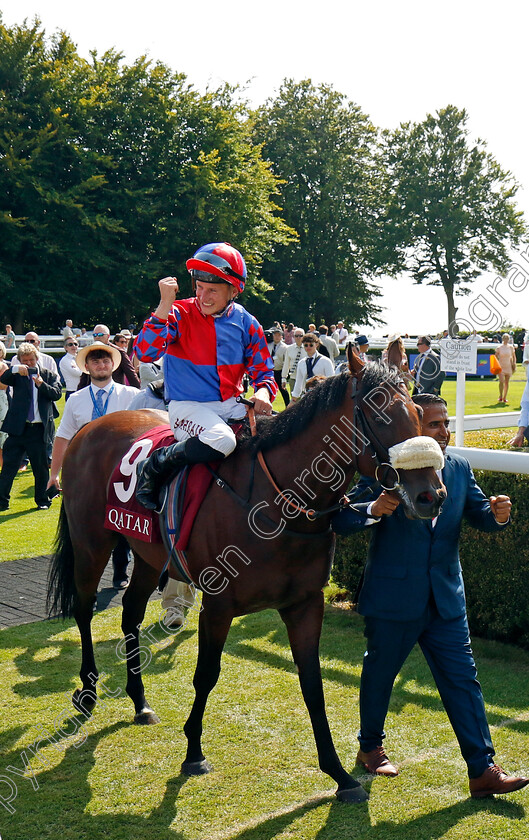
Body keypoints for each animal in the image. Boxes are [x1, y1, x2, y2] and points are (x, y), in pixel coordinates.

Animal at [46, 348, 446, 800]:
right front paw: (194, 753)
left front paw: (339, 775)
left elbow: (313, 685)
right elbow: (206, 676)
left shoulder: (306, 604)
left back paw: (139, 701)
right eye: (381, 416)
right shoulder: (218, 606)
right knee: (82, 610)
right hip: (91, 544)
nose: (430, 495)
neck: (277, 502)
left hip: (147, 553)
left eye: (418, 412)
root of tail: (89, 427)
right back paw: (88, 691)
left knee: (130, 613)